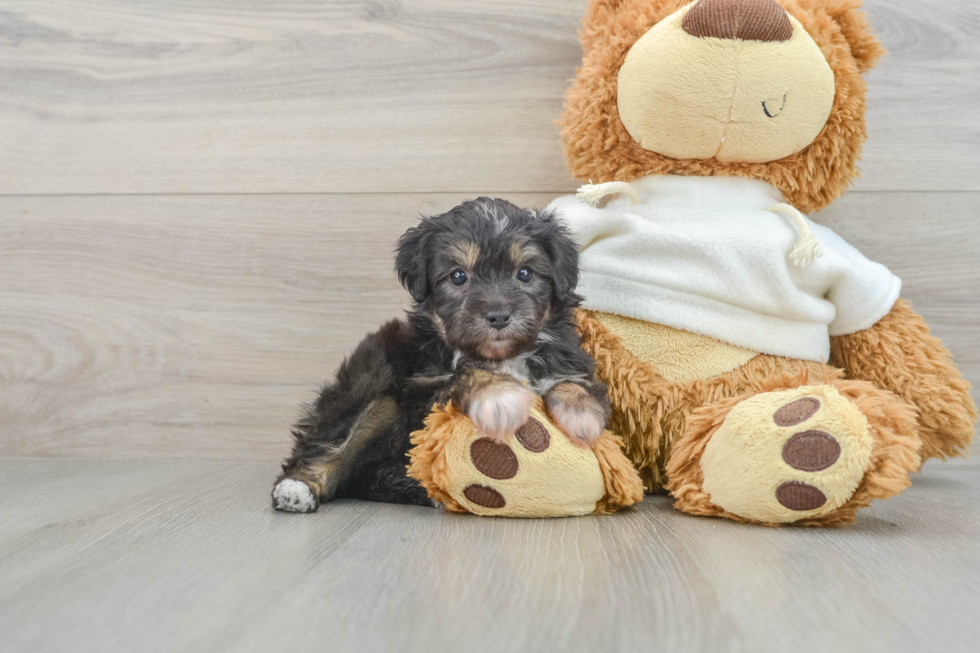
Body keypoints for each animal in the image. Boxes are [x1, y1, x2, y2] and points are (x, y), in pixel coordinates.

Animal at [272, 196, 608, 512]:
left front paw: (581, 413)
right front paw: (499, 396)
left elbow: (574, 382)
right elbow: (463, 373)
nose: (499, 316)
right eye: (458, 276)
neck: (502, 357)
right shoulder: (422, 398)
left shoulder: (570, 361)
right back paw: (296, 488)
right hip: (370, 381)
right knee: (329, 442)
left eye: (524, 273)